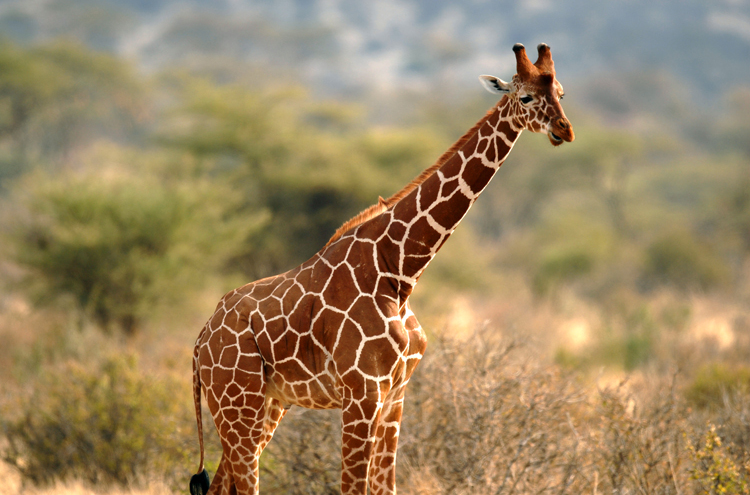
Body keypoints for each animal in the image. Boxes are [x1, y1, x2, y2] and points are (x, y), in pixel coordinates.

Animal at [189, 42, 574, 495]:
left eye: (561, 93)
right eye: (526, 97)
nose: (564, 130)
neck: (400, 272)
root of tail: (200, 341)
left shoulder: (395, 395)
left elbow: (385, 485)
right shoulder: (362, 393)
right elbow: (352, 487)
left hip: (268, 404)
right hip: (238, 404)